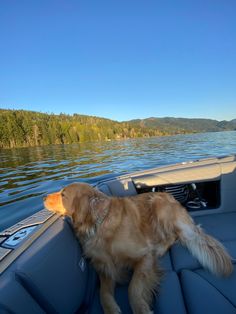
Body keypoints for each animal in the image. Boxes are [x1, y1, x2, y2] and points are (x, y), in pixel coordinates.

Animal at [43, 183, 232, 312]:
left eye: (63, 194)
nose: (43, 197)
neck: (99, 226)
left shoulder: (144, 257)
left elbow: (133, 288)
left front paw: (141, 308)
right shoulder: (106, 269)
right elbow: (103, 295)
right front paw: (112, 309)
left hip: (159, 206)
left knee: (173, 236)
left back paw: (160, 248)